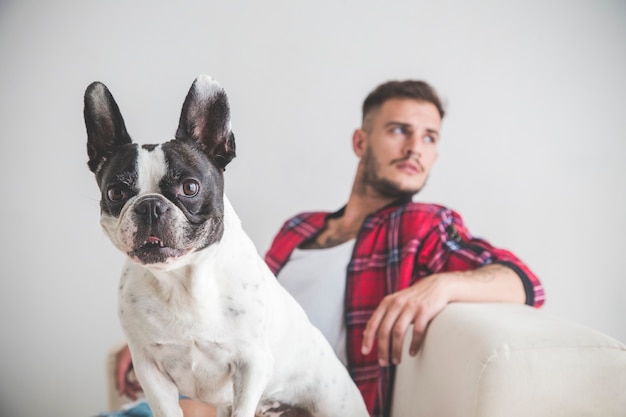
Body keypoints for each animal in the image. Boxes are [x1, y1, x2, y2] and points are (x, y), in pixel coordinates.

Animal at [83, 75, 366, 416]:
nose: (150, 205)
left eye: (190, 187)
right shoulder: (149, 368)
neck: (182, 281)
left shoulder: (251, 364)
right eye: (115, 193)